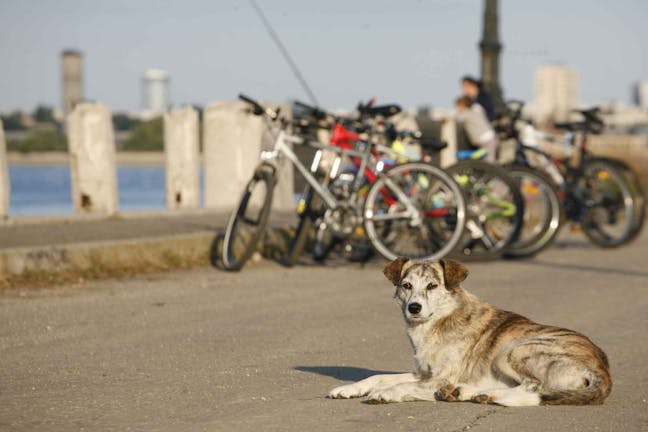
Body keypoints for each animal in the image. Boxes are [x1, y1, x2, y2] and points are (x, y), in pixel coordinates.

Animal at [330, 258, 612, 406]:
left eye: (432, 286)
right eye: (406, 285)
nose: (414, 308)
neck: (437, 322)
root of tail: (603, 371)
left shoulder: (438, 378)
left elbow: (403, 385)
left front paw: (387, 394)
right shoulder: (423, 373)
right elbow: (378, 376)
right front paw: (349, 388)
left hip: (513, 352)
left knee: (535, 388)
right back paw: (470, 393)